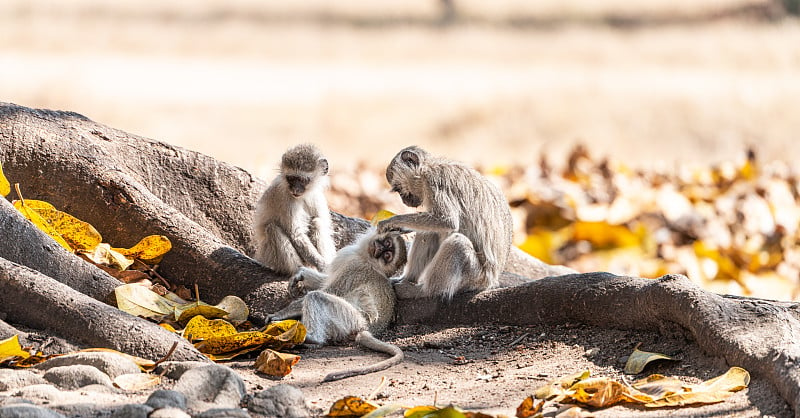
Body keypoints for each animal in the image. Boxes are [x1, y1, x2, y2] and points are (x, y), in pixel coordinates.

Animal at [253, 145, 334, 278]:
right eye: (291, 178)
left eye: (302, 180)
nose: (295, 189)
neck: (303, 196)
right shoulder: (284, 198)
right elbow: (295, 234)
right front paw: (323, 266)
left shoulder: (317, 196)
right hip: (270, 256)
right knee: (272, 229)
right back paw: (298, 271)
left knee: (317, 222)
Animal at [270, 227, 406, 380]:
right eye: (387, 243)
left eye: (387, 255)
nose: (380, 249)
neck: (367, 258)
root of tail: (370, 328)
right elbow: (325, 280)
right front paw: (301, 274)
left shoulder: (355, 267)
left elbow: (330, 290)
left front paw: (281, 314)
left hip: (352, 319)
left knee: (315, 297)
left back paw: (313, 339)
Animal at [380, 145, 516, 298]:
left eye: (398, 189)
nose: (404, 200)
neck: (427, 167)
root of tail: (491, 282)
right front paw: (400, 228)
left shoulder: (434, 182)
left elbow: (447, 221)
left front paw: (393, 221)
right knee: (429, 232)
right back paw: (408, 280)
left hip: (475, 278)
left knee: (457, 243)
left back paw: (422, 291)